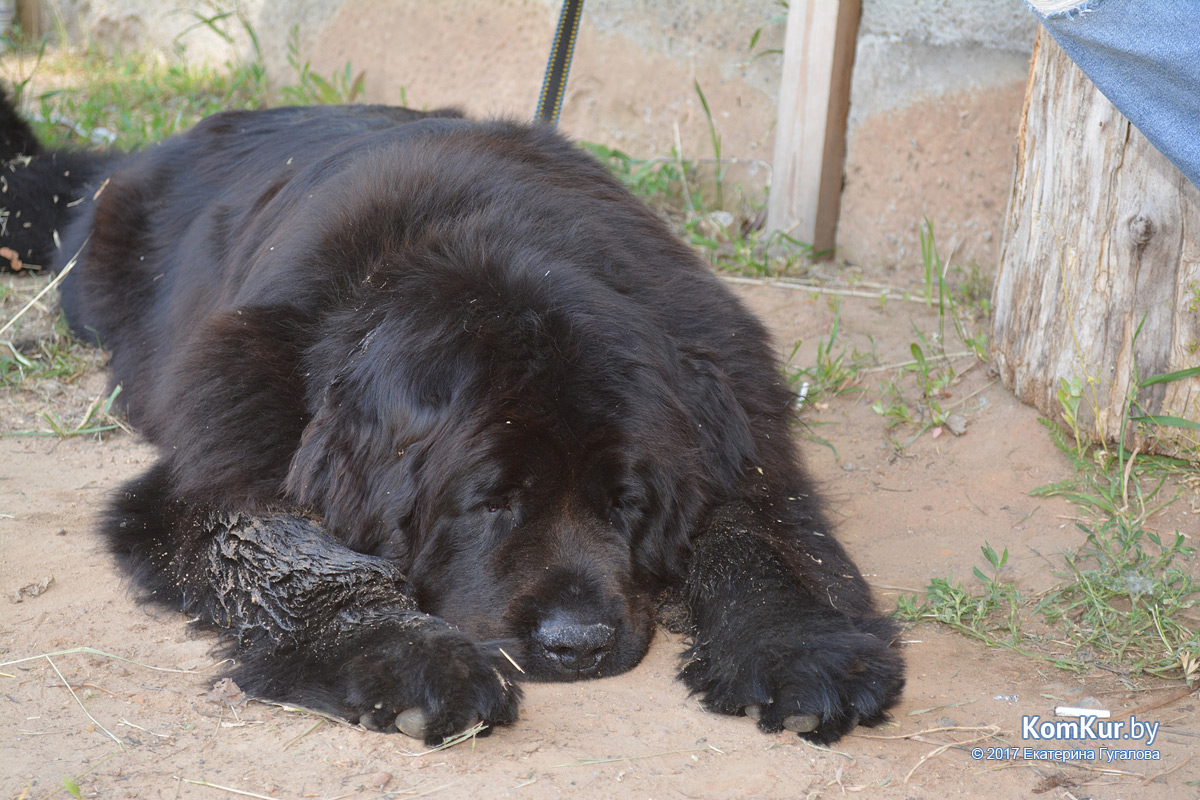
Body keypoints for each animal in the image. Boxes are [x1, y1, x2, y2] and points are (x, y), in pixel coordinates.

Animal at [0, 97, 902, 748]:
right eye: (489, 502)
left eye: (628, 505)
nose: (578, 643)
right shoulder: (224, 458)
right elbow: (296, 558)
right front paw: (408, 657)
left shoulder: (734, 423)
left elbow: (757, 536)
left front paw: (799, 648)